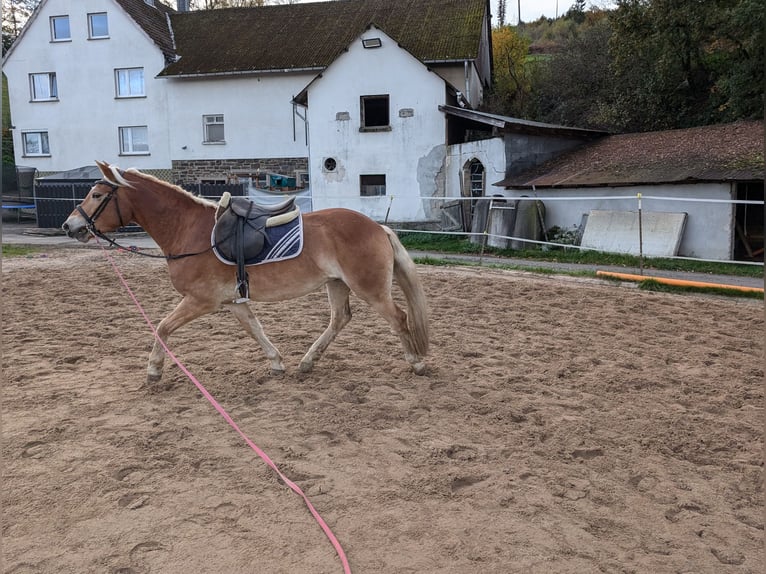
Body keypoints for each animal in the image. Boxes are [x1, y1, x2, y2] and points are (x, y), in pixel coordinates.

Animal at [61, 161, 432, 382]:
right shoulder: (234, 302)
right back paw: (307, 362)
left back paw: (416, 363)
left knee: (398, 317)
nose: (69, 225)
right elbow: (255, 330)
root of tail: (377, 227)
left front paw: (153, 370)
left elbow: (162, 327)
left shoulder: (200, 301)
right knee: (340, 319)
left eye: (97, 194)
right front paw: (277, 362)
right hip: (337, 283)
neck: (190, 230)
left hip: (370, 288)